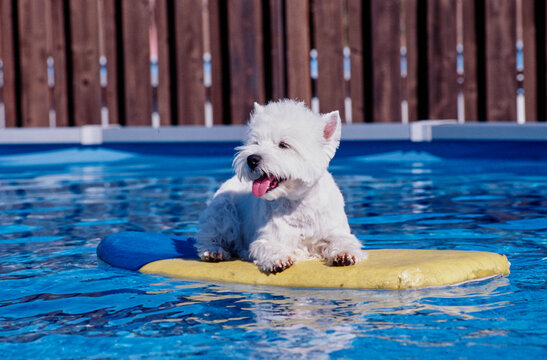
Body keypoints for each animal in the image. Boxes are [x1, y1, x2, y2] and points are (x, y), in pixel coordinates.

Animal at [195, 99, 366, 272]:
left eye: (283, 145)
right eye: (256, 142)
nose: (251, 159)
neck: (298, 203)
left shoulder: (335, 231)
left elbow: (344, 240)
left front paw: (345, 254)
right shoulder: (267, 238)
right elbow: (271, 247)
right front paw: (279, 259)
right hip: (223, 210)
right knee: (212, 234)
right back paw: (214, 251)